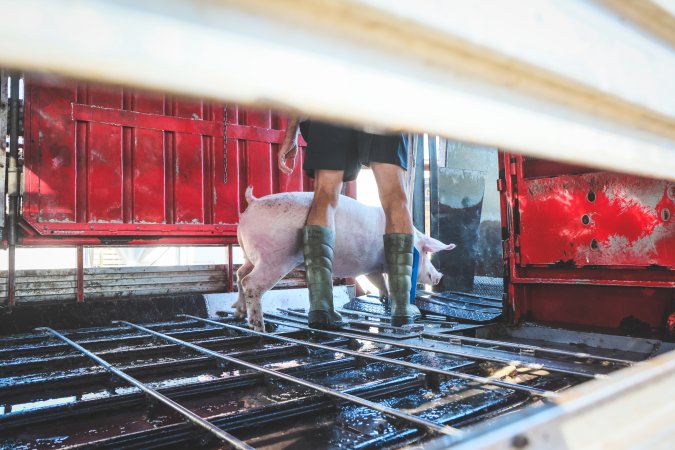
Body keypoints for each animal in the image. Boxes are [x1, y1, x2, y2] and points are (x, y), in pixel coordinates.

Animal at [230, 186, 456, 330]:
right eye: (426, 252)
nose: (439, 276)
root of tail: (254, 203)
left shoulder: (372, 265)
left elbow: (377, 280)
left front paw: (383, 297)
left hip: (250, 255)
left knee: (240, 273)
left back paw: (238, 313)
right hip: (275, 257)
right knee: (250, 282)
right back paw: (259, 327)